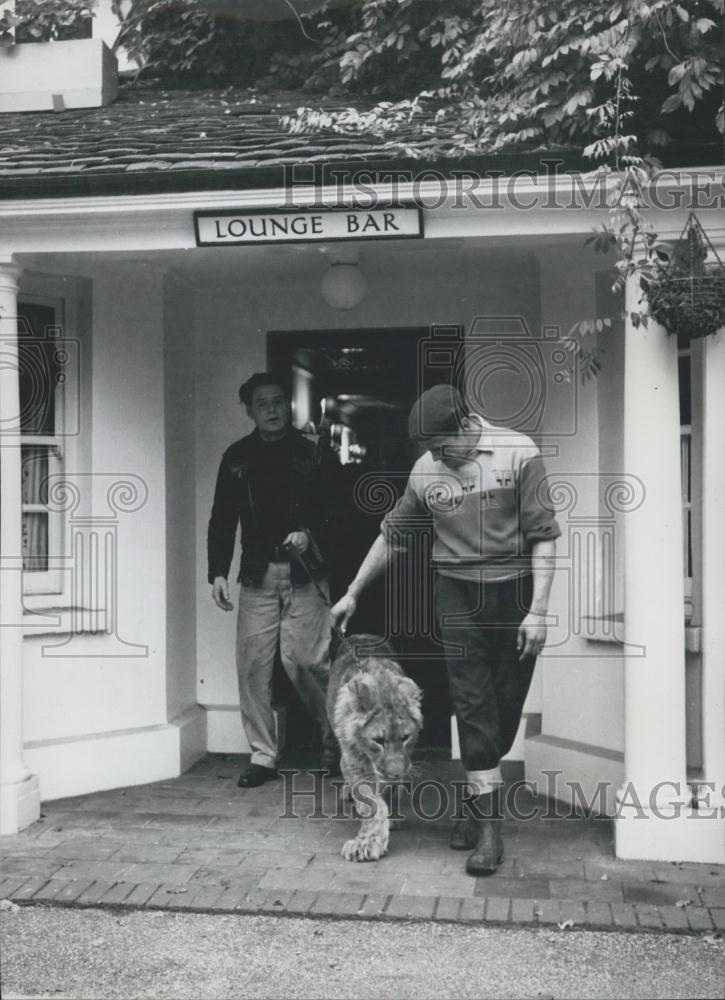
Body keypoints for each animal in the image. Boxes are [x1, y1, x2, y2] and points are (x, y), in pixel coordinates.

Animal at [328, 636, 424, 864]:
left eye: (406, 737)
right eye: (378, 740)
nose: (395, 773)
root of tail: (362, 634)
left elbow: (390, 794)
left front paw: (392, 817)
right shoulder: (353, 762)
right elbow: (371, 803)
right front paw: (365, 843)